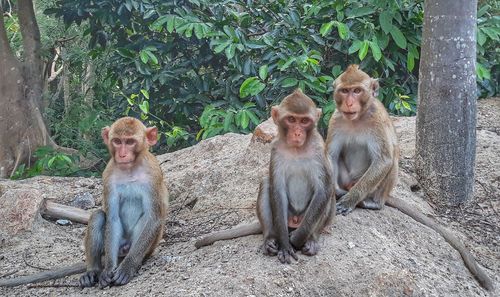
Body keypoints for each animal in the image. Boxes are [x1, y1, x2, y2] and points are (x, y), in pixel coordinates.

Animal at [0, 117, 170, 286]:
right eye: (117, 141)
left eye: (130, 142)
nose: (122, 155)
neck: (130, 170)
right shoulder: (108, 176)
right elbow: (113, 218)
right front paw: (108, 269)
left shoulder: (153, 175)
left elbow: (153, 218)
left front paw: (128, 267)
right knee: (98, 216)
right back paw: (93, 270)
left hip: (149, 247)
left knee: (145, 221)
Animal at [196, 89, 336, 262]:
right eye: (291, 119)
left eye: (304, 121)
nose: (297, 133)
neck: (297, 150)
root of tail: (295, 221)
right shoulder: (275, 148)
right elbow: (277, 189)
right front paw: (285, 245)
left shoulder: (319, 149)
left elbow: (324, 189)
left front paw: (297, 239)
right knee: (266, 183)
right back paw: (270, 238)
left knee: (329, 193)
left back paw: (311, 239)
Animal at [326, 63, 494, 290]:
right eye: (344, 91)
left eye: (357, 91)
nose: (349, 102)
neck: (357, 118)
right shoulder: (336, 119)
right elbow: (330, 155)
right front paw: (332, 195)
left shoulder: (377, 120)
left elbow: (384, 160)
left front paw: (349, 201)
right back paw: (341, 191)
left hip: (377, 188)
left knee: (392, 161)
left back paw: (371, 202)